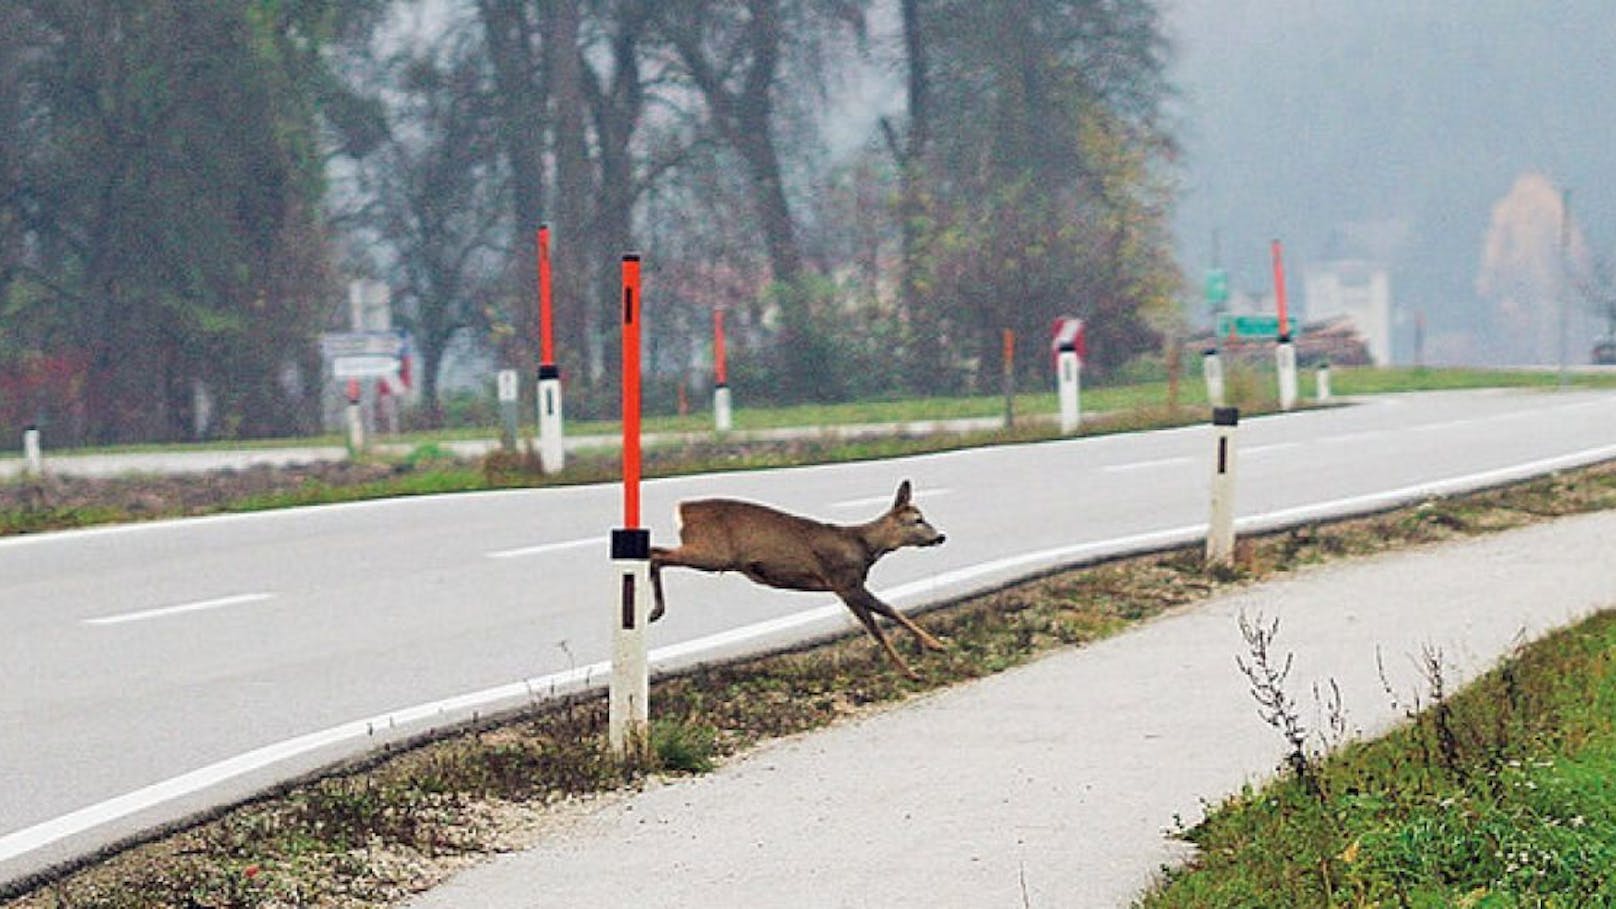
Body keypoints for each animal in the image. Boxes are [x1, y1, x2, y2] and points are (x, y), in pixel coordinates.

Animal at [643, 478, 943, 676]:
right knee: (656, 554)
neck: (863, 546)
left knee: (656, 553)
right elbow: (884, 617)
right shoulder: (845, 581)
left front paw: (917, 662)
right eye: (917, 519)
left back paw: (653, 610)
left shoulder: (845, 587)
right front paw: (930, 652)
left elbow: (878, 623)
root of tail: (683, 509)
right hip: (712, 552)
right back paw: (655, 610)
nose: (940, 536)